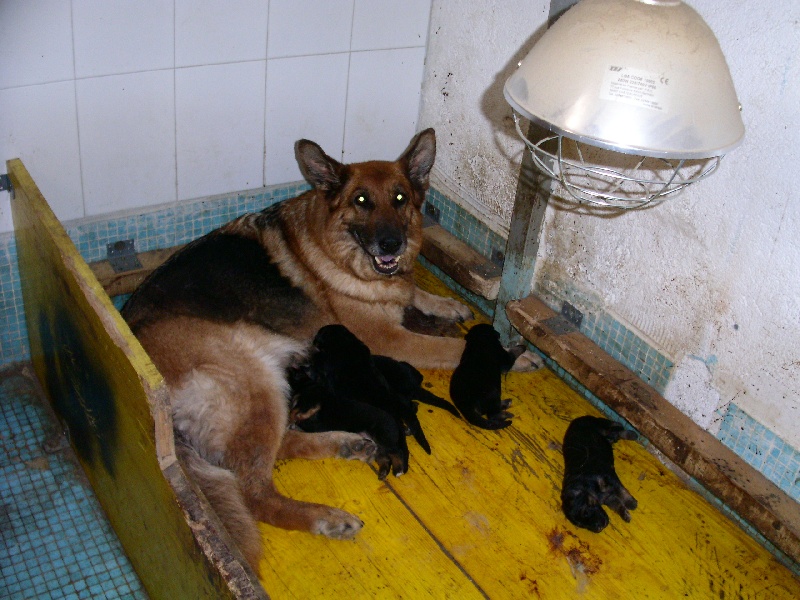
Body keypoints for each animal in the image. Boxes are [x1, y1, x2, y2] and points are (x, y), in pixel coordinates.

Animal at [122, 130, 490, 572]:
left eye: (400, 198)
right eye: (361, 200)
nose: (391, 244)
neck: (336, 249)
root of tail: (154, 398)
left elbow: (415, 291)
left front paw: (445, 304)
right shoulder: (387, 339)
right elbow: (449, 347)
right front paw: (509, 354)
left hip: (269, 389)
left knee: (278, 446)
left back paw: (346, 443)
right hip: (254, 381)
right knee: (255, 493)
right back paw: (323, 517)